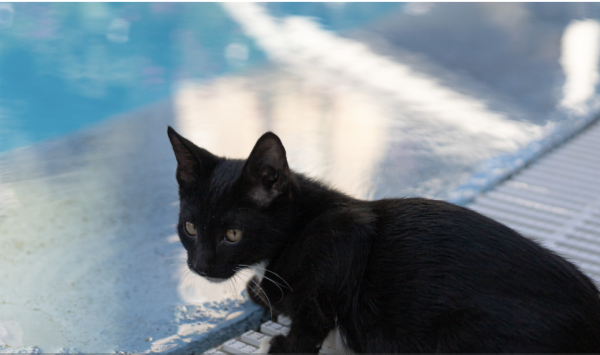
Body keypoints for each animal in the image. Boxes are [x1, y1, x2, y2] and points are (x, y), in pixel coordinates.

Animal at [166, 127, 600, 354]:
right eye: (190, 228)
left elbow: (306, 327)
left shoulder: (345, 238)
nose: (200, 265)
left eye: (232, 234)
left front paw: (281, 341)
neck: (300, 227)